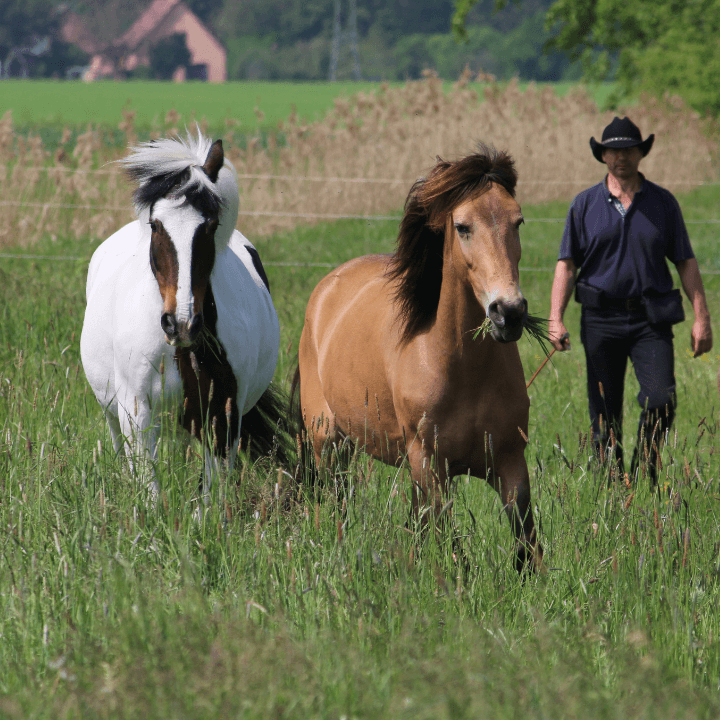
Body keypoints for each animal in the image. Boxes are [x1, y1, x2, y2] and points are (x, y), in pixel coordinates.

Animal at [80, 130, 283, 500]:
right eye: (156, 225)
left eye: (211, 225)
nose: (181, 323)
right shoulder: (137, 410)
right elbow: (149, 490)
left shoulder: (223, 414)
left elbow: (210, 495)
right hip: (113, 412)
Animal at [292, 146, 543, 572]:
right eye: (463, 226)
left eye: (519, 221)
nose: (508, 312)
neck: (462, 370)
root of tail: (326, 289)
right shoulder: (428, 466)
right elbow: (450, 546)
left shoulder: (510, 462)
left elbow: (527, 545)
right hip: (329, 444)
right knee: (336, 506)